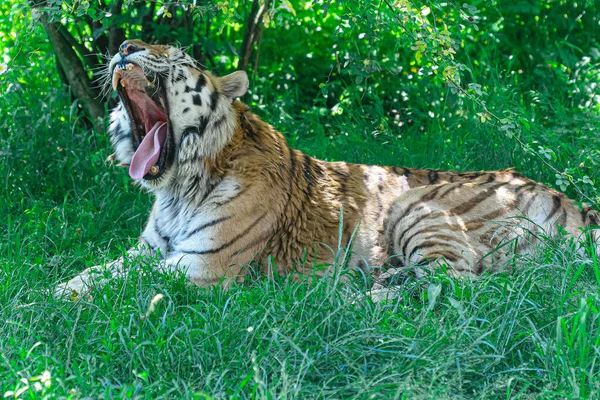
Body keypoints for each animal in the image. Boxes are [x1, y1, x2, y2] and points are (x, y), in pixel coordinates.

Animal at [55, 39, 596, 298]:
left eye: (180, 55)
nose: (124, 47)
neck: (179, 187)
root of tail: (570, 201)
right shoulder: (149, 251)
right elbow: (91, 274)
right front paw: (47, 293)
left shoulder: (201, 266)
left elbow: (120, 288)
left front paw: (45, 310)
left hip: (416, 207)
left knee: (456, 284)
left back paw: (344, 298)